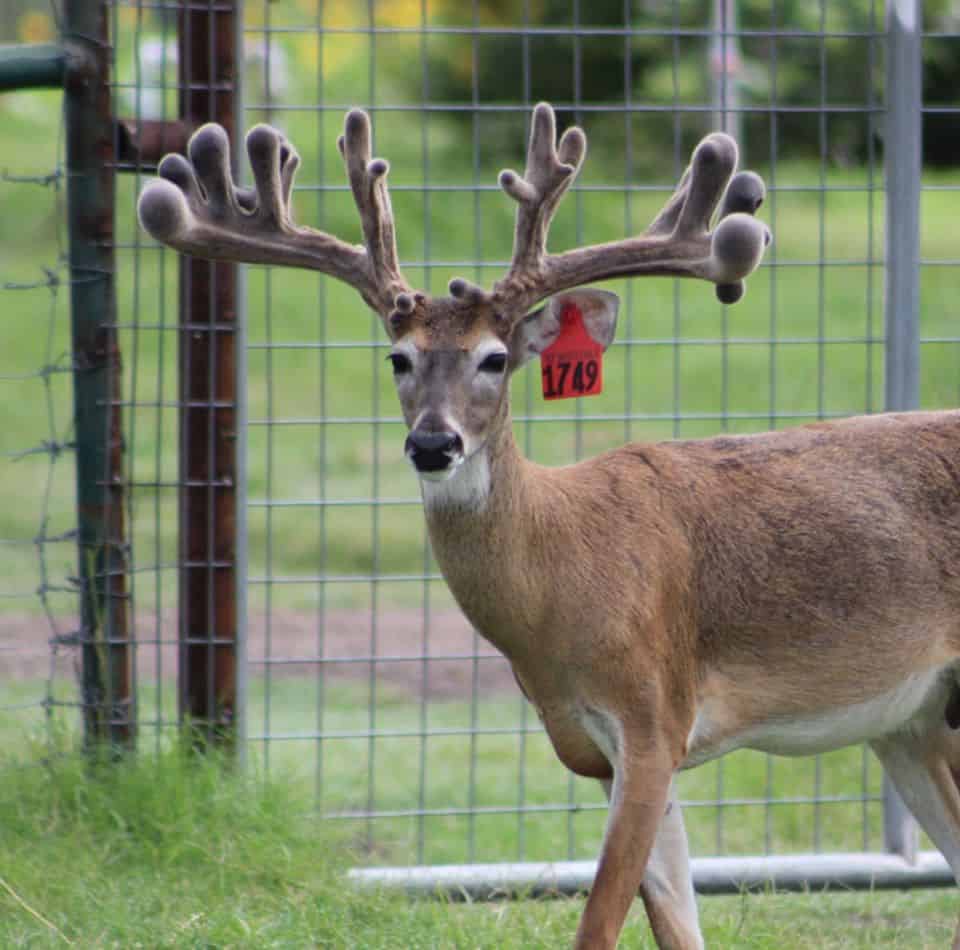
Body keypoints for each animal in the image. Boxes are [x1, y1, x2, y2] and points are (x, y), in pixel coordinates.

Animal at [138, 102, 960, 949]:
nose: (432, 444)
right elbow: (676, 925)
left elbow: (598, 924)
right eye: (399, 359)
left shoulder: (654, 716)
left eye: (495, 359)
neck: (563, 574)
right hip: (912, 722)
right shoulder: (593, 750)